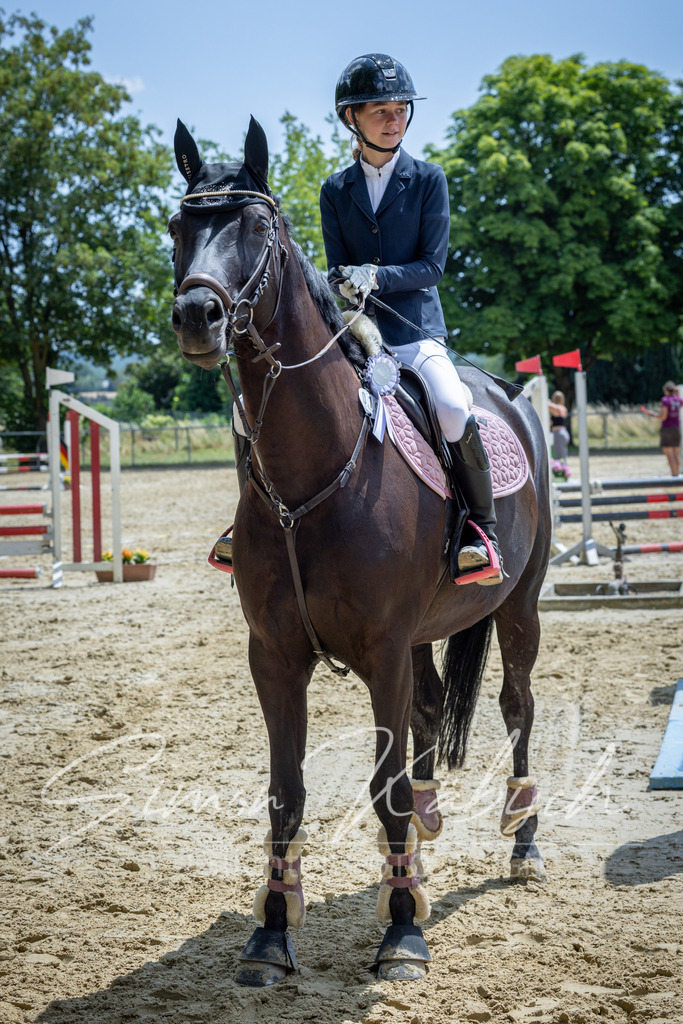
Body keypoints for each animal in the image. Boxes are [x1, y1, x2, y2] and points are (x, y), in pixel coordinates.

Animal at [169, 116, 551, 986]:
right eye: (178, 226)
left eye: (257, 225)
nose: (198, 315)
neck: (312, 476)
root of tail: (506, 395)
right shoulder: (275, 655)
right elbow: (286, 790)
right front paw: (271, 934)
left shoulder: (378, 648)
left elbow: (386, 790)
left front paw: (402, 934)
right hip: (420, 635)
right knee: (431, 708)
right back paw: (437, 831)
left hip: (518, 604)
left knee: (516, 705)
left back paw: (522, 843)